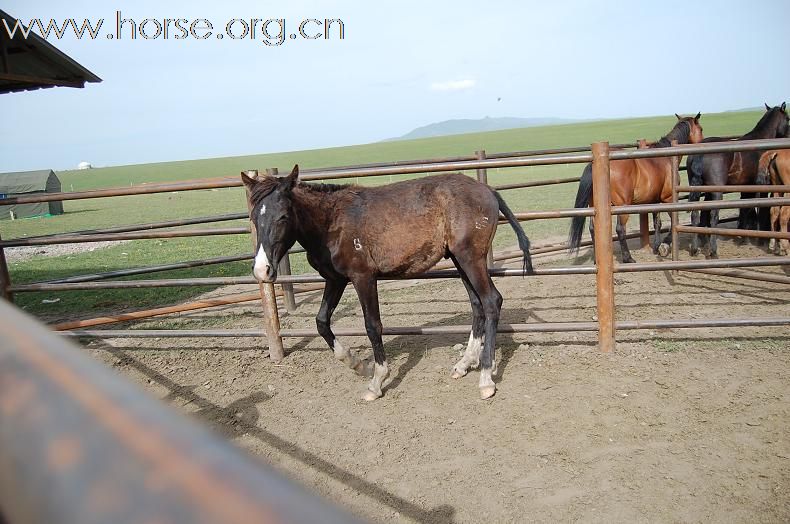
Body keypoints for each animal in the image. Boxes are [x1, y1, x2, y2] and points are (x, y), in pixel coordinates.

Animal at [244, 168, 536, 402]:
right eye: (253, 218)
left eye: (283, 216)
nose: (262, 270)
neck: (331, 222)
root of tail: (488, 191)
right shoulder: (336, 279)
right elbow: (321, 322)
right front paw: (356, 364)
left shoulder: (363, 277)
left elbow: (372, 326)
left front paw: (376, 381)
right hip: (458, 259)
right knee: (477, 305)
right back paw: (464, 364)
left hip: (470, 258)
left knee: (491, 302)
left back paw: (486, 377)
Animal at [568, 114, 704, 262]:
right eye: (701, 129)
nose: (703, 142)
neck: (666, 158)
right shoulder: (668, 199)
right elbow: (674, 221)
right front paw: (665, 246)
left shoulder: (654, 200)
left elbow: (657, 223)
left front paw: (657, 247)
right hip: (623, 206)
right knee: (620, 229)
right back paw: (628, 258)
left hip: (594, 206)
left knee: (593, 228)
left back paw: (597, 259)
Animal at [688, 103, 788, 258]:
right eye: (788, 119)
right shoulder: (761, 187)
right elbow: (759, 210)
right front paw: (761, 239)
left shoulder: (746, 186)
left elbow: (745, 209)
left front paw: (744, 236)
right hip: (716, 192)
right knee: (713, 216)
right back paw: (713, 251)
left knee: (696, 214)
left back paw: (696, 248)